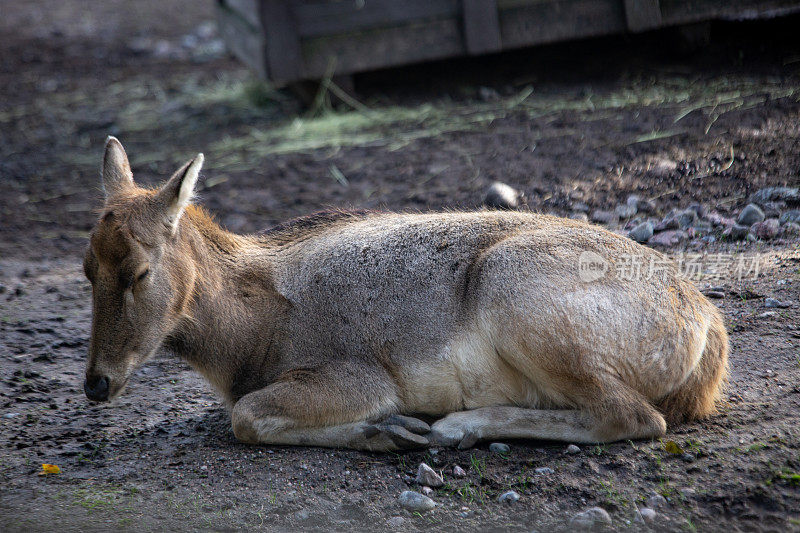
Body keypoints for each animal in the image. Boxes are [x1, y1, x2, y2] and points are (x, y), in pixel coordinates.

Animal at [84, 136, 728, 448]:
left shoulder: (359, 373)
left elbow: (245, 417)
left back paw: (455, 427)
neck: (244, 344)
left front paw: (388, 431)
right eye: (86, 268)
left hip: (516, 292)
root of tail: (707, 335)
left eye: (139, 272)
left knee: (633, 416)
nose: (97, 383)